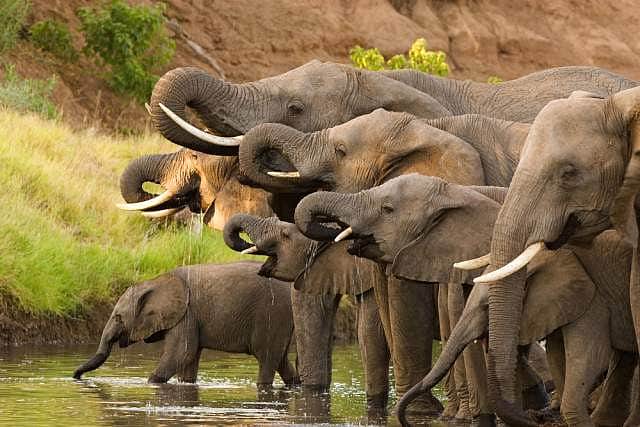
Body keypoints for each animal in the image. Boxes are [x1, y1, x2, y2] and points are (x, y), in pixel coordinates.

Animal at [73, 262, 299, 388]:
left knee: (267, 359)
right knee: (281, 360)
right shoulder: (190, 317)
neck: (154, 281)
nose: (75, 376)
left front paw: (150, 383)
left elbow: (181, 353)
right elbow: (188, 359)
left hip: (272, 315)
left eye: (118, 317)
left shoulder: (186, 314)